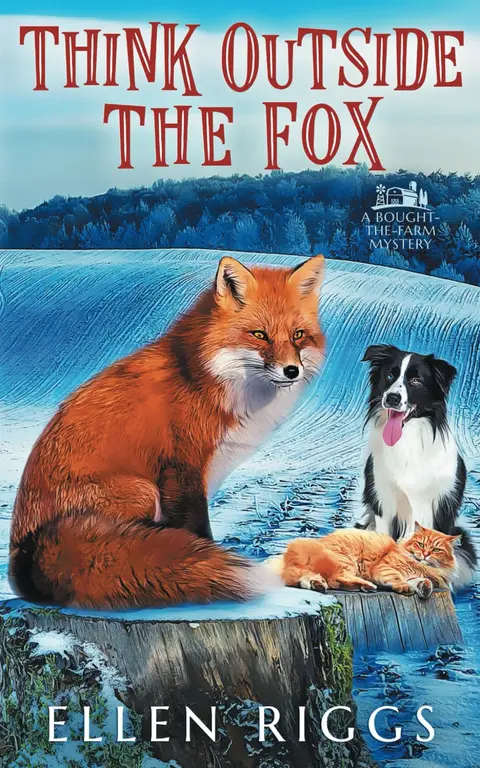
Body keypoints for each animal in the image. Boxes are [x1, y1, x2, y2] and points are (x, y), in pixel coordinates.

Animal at [9, 254, 325, 609]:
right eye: (259, 334)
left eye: (298, 335)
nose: (292, 370)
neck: (206, 378)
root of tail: (22, 559)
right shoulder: (183, 468)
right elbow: (197, 530)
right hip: (142, 490)